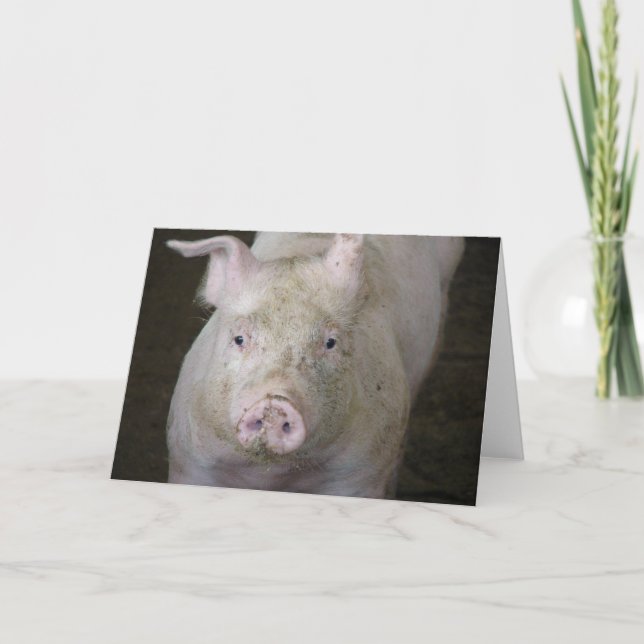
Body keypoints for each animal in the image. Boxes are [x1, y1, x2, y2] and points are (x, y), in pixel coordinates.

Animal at [165, 232, 464, 499]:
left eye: (330, 342)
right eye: (239, 338)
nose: (274, 402)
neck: (273, 475)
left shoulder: (361, 473)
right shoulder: (190, 459)